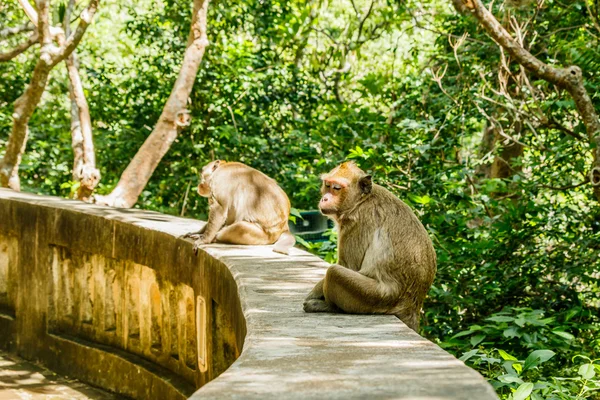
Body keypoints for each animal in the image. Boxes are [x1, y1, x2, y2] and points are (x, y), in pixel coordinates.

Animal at [304, 162, 436, 332]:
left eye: (337, 188)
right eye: (327, 185)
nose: (324, 198)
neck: (362, 200)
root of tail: (412, 306)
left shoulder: (356, 222)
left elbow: (348, 266)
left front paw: (313, 294)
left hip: (375, 298)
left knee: (334, 272)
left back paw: (328, 307)